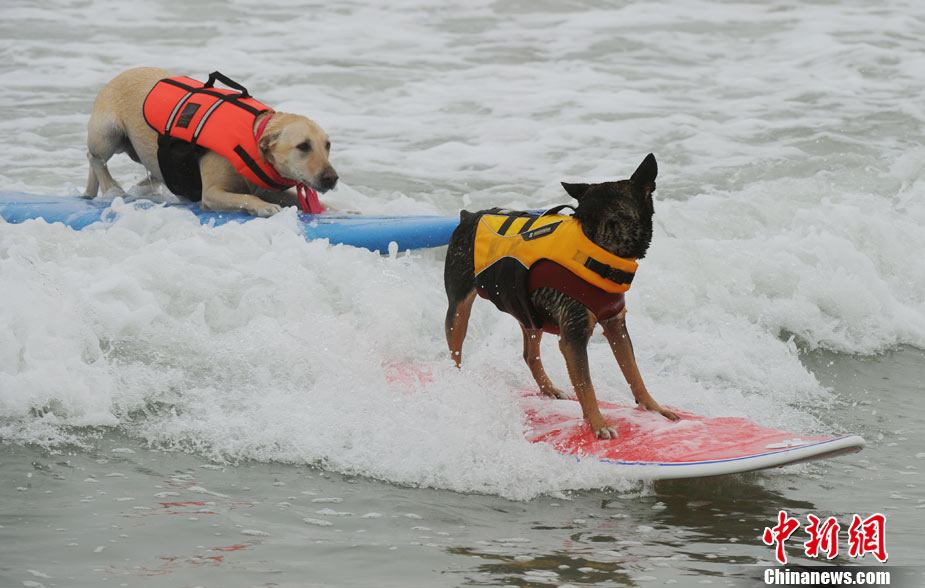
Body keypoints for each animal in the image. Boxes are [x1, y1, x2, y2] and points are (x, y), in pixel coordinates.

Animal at [83, 67, 338, 216]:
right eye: (303, 146)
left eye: (327, 145)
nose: (332, 178)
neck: (253, 136)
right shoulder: (213, 193)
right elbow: (246, 197)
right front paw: (264, 207)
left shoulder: (266, 187)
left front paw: (336, 210)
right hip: (108, 133)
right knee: (95, 157)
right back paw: (111, 187)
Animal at [443, 153, 678, 439]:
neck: (597, 245)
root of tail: (468, 216)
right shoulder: (573, 337)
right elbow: (586, 386)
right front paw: (598, 424)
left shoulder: (616, 325)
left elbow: (634, 373)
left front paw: (654, 408)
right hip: (459, 307)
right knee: (455, 350)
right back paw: (459, 385)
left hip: (525, 309)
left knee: (529, 353)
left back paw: (549, 389)